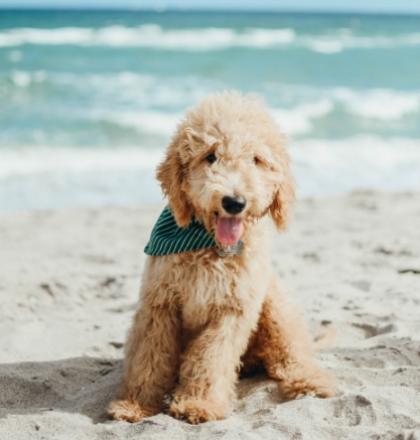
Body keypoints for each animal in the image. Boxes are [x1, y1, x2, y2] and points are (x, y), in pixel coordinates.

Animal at [107, 91, 334, 424]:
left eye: (257, 160)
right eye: (211, 156)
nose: (234, 202)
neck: (211, 247)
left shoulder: (232, 310)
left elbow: (211, 358)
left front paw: (199, 404)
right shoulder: (159, 304)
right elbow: (149, 358)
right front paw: (134, 404)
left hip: (274, 303)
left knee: (292, 353)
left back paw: (309, 381)